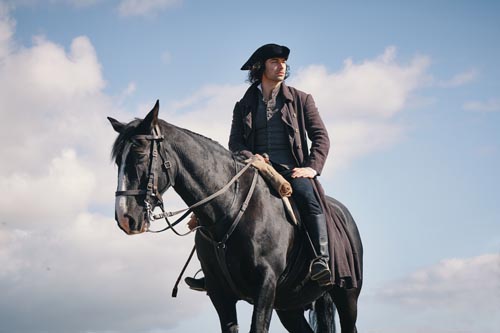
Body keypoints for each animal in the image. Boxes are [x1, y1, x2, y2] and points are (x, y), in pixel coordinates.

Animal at [107, 102, 362, 332]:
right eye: (118, 160)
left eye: (140, 153)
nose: (124, 217)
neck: (232, 209)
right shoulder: (220, 294)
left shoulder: (266, 285)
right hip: (289, 307)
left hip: (347, 297)